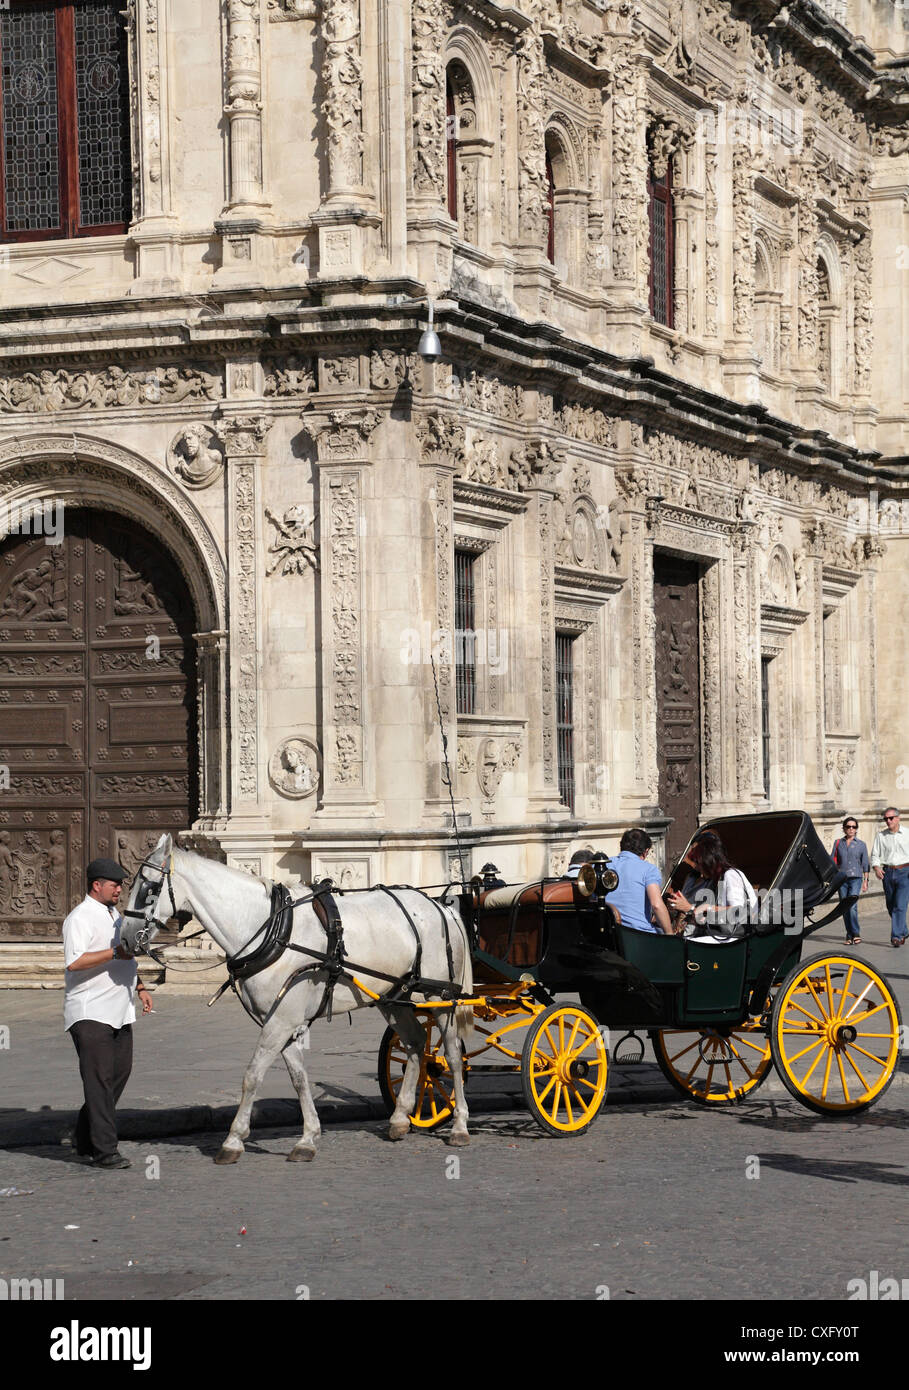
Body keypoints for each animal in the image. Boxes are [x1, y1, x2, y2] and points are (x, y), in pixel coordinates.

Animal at [120, 839, 472, 1156]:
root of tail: (443, 906)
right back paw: (400, 1119)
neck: (270, 929)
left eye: (149, 886)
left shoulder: (281, 1020)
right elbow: (298, 1077)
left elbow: (252, 1075)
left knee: (453, 1055)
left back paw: (459, 1125)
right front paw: (308, 1138)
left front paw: (233, 1140)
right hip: (392, 996)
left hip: (441, 994)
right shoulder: (280, 1019)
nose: (124, 938)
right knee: (415, 1043)